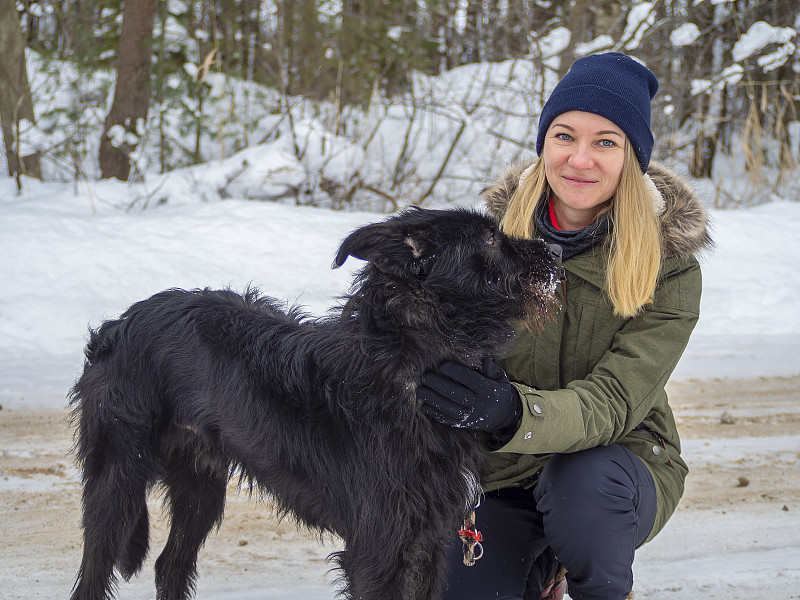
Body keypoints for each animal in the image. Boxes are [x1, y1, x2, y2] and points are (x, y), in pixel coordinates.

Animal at [69, 207, 560, 600]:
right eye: (491, 240)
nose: (556, 251)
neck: (415, 367)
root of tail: (121, 322)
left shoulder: (427, 541)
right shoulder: (377, 549)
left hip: (200, 487)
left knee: (170, 565)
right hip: (117, 479)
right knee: (94, 576)